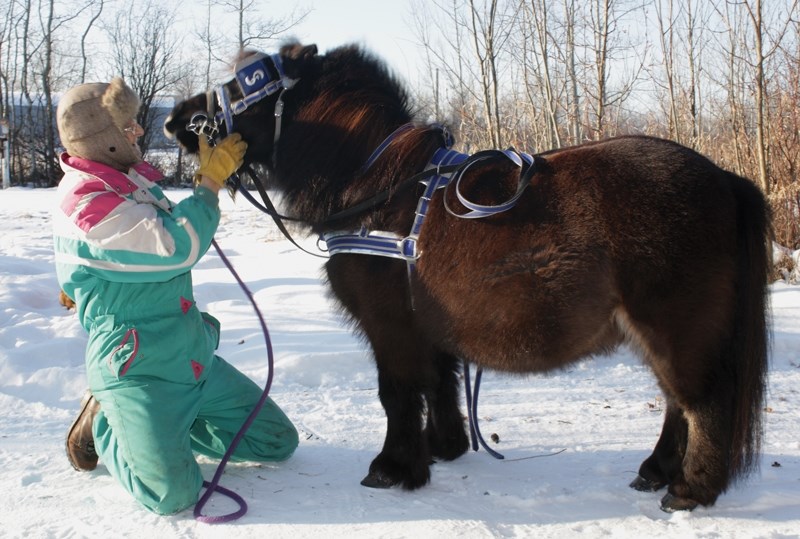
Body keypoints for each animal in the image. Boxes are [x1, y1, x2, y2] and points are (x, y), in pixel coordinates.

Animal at [166, 43, 772, 516]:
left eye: (246, 84)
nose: (176, 118)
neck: (376, 185)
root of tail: (724, 178)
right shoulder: (429, 327)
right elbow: (441, 382)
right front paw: (444, 446)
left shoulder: (391, 328)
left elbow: (398, 392)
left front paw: (394, 467)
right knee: (676, 404)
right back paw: (655, 470)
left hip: (676, 330)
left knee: (701, 404)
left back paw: (689, 489)